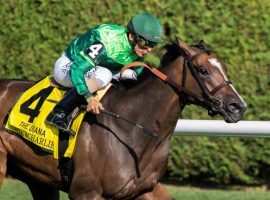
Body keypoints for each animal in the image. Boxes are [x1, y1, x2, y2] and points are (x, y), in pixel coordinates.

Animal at [0, 38, 247, 199]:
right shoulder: (85, 192)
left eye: (224, 68)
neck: (132, 126)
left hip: (39, 180)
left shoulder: (144, 188)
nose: (238, 107)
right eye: (203, 70)